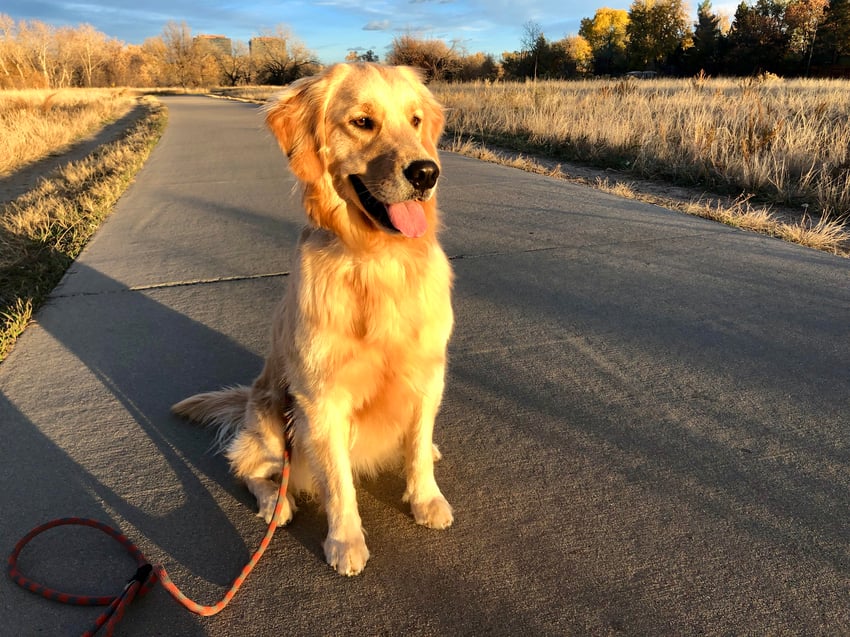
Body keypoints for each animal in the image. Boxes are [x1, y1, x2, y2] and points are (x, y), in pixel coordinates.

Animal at [169, 64, 454, 576]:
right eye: (363, 122)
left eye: (416, 121)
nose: (426, 171)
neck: (376, 259)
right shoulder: (321, 398)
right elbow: (338, 483)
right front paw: (344, 541)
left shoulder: (428, 374)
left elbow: (419, 450)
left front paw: (426, 499)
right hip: (270, 420)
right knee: (246, 466)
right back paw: (274, 504)